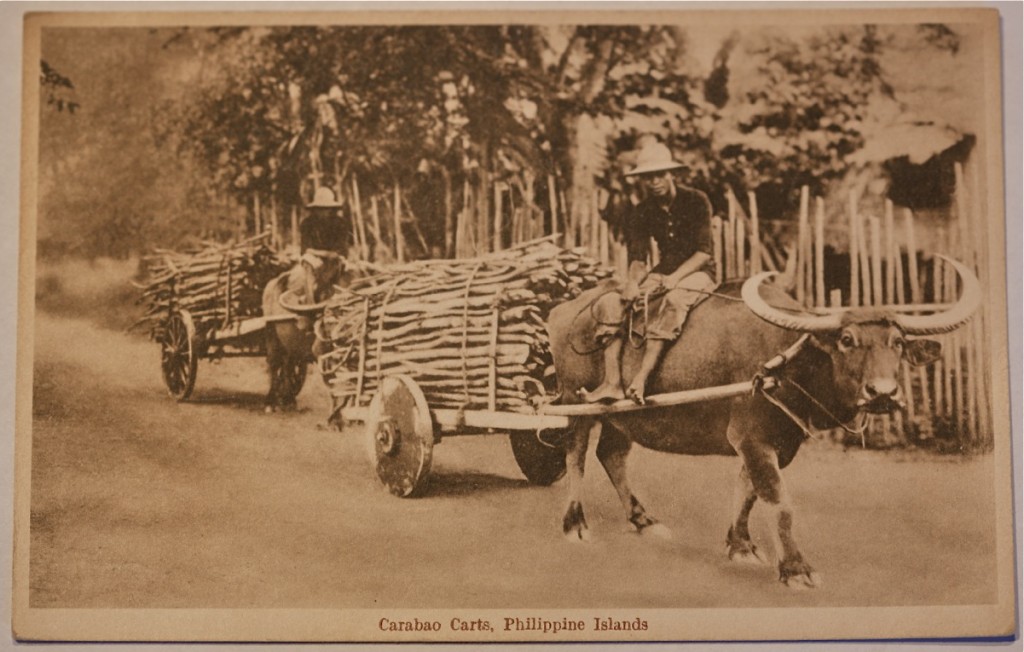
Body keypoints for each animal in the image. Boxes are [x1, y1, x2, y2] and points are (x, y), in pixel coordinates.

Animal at [260, 251, 348, 409]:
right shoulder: (321, 354)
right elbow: (333, 383)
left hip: (290, 345)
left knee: (287, 365)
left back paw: (288, 399)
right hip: (271, 334)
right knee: (273, 363)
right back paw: (271, 401)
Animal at [548, 256, 978, 585]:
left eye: (899, 344)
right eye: (847, 340)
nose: (883, 393)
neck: (785, 361)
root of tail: (562, 311)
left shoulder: (776, 444)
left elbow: (749, 491)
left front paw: (740, 545)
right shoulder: (752, 437)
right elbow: (779, 502)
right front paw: (796, 568)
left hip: (623, 418)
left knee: (612, 453)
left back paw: (644, 520)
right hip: (572, 401)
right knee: (576, 455)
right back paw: (575, 524)